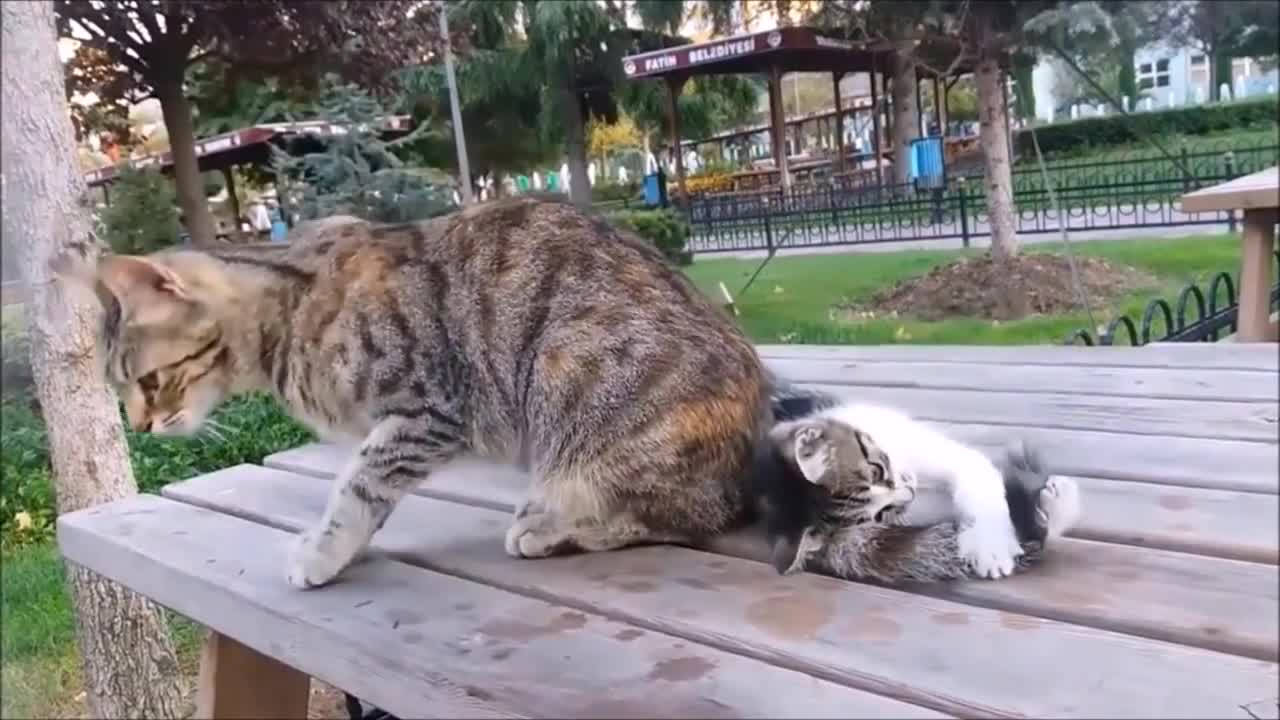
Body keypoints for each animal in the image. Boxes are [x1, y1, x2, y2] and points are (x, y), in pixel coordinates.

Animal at [57, 193, 768, 586]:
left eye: (149, 381)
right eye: (122, 388)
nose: (141, 426)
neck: (287, 310)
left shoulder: (426, 408)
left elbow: (358, 489)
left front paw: (323, 552)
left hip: (569, 376)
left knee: (681, 516)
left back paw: (549, 525)